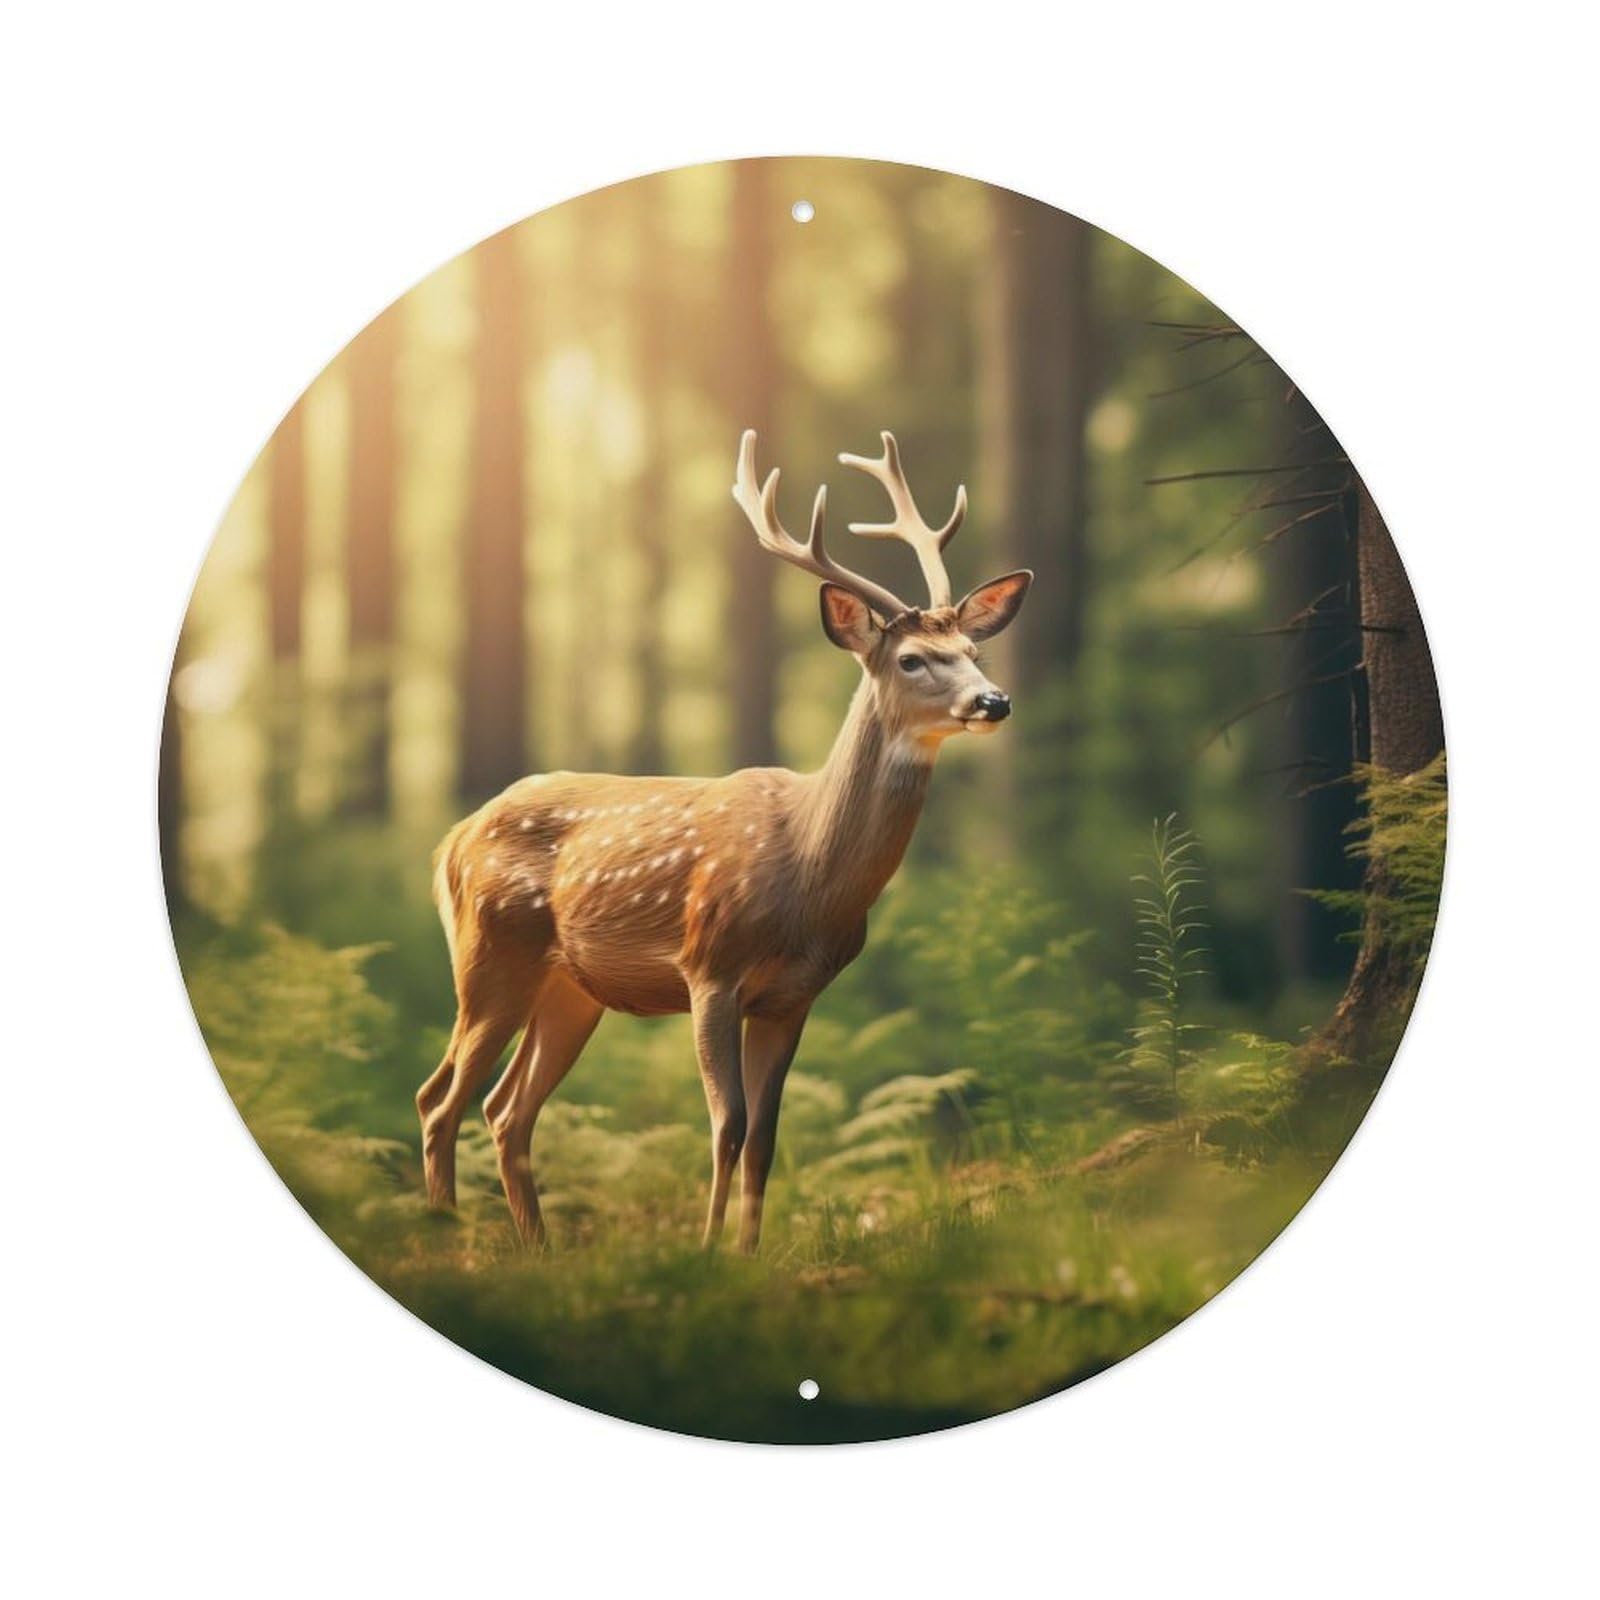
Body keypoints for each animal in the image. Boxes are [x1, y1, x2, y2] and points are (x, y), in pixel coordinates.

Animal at [417, 429, 1031, 1253]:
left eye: (974, 651)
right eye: (911, 658)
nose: (994, 701)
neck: (810, 879)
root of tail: (449, 842)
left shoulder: (793, 997)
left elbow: (767, 1134)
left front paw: (747, 1254)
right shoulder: (709, 968)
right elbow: (727, 1124)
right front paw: (705, 1252)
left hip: (570, 989)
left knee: (505, 1111)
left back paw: (538, 1251)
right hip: (489, 955)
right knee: (441, 1099)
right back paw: (447, 1237)